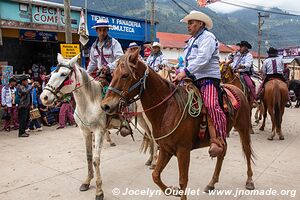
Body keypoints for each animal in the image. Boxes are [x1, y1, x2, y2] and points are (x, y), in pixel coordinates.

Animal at [40, 54, 157, 199]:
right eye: (51, 74)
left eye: (63, 74)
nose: (44, 97)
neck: (89, 103)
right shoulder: (85, 132)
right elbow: (88, 157)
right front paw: (86, 181)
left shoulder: (99, 131)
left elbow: (96, 160)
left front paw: (99, 190)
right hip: (141, 120)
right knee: (150, 138)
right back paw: (150, 160)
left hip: (148, 120)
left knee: (155, 139)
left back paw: (154, 163)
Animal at [102, 50, 254, 199]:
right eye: (113, 74)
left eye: (125, 75)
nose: (105, 106)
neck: (168, 110)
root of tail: (237, 90)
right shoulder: (166, 149)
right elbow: (155, 176)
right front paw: (172, 191)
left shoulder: (183, 150)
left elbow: (183, 181)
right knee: (222, 153)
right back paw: (211, 183)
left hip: (243, 128)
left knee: (247, 151)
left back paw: (249, 181)